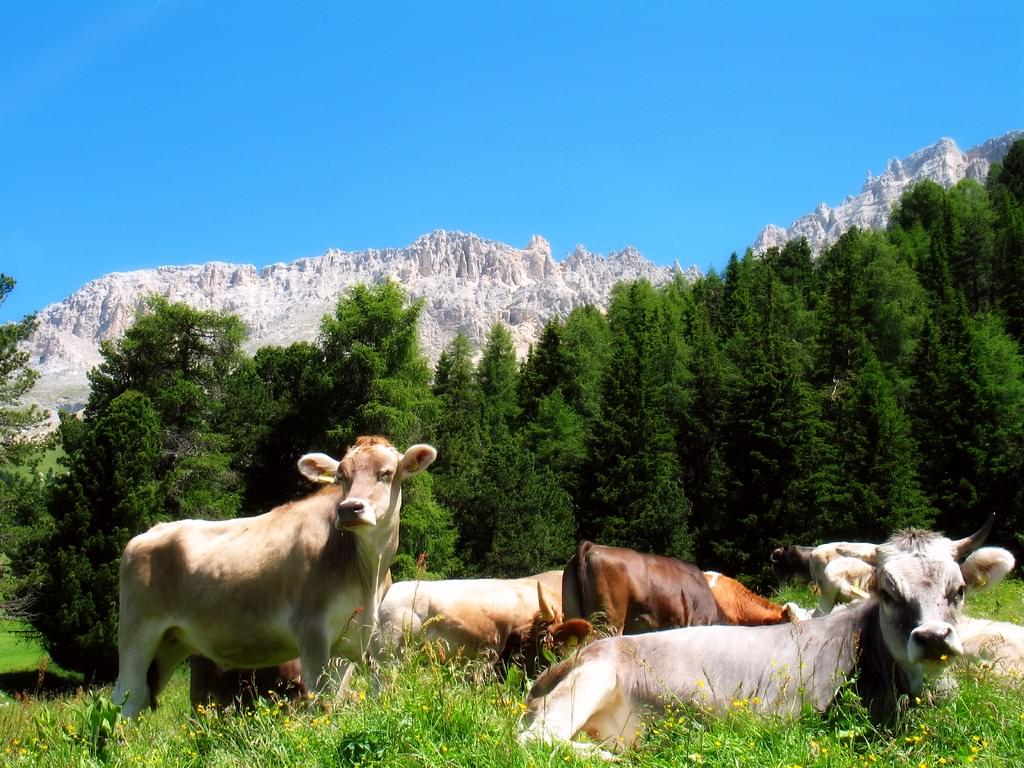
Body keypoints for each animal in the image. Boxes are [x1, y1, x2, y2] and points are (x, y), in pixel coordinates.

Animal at [113, 438, 436, 720]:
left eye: (386, 473)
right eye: (341, 476)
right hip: (138, 635)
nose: (349, 509)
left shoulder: (350, 642)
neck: (366, 572)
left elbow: (337, 700)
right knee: (125, 701)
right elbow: (322, 702)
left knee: (139, 700)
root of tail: (149, 533)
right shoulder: (311, 631)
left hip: (171, 642)